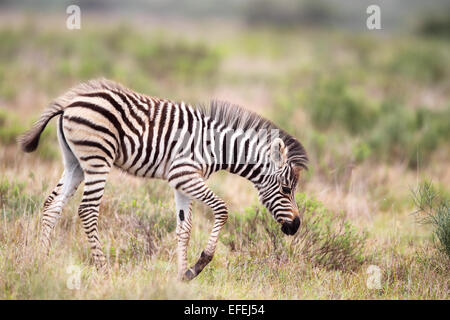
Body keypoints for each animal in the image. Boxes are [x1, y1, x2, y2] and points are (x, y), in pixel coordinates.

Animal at [19, 79, 308, 280]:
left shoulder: (181, 183)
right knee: (87, 210)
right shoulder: (185, 174)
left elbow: (184, 228)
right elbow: (222, 209)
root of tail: (70, 102)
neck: (216, 147)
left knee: (52, 205)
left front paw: (183, 276)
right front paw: (200, 263)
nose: (296, 226)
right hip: (97, 159)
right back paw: (104, 271)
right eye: (285, 189)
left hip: (75, 163)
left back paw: (41, 262)